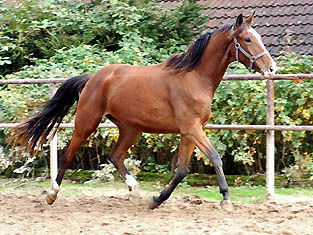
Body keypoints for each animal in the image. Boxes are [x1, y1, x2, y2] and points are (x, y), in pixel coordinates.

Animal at [10, 13, 276, 211]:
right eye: (248, 39)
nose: (272, 68)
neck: (195, 77)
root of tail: (93, 78)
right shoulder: (192, 128)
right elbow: (215, 157)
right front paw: (226, 199)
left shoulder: (190, 131)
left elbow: (182, 170)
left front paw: (156, 200)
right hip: (87, 122)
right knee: (67, 154)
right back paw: (52, 194)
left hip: (130, 128)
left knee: (115, 156)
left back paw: (135, 191)